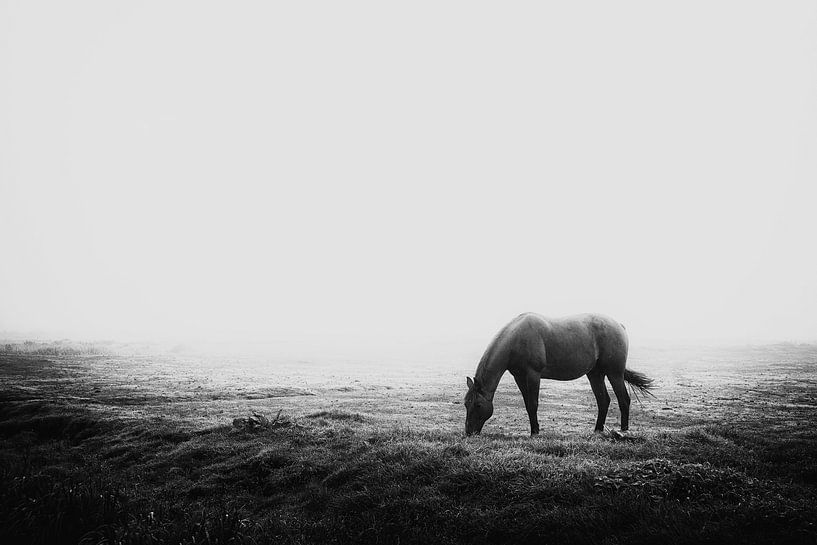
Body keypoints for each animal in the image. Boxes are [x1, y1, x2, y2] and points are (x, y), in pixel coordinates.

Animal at [462, 312, 652, 436]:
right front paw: (535, 429)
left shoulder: (533, 375)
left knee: (623, 400)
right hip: (595, 374)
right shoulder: (519, 377)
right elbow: (527, 404)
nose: (469, 432)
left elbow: (533, 404)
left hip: (615, 373)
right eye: (465, 404)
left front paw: (535, 432)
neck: (516, 340)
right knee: (603, 400)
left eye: (477, 405)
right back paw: (597, 430)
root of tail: (619, 325)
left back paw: (623, 431)